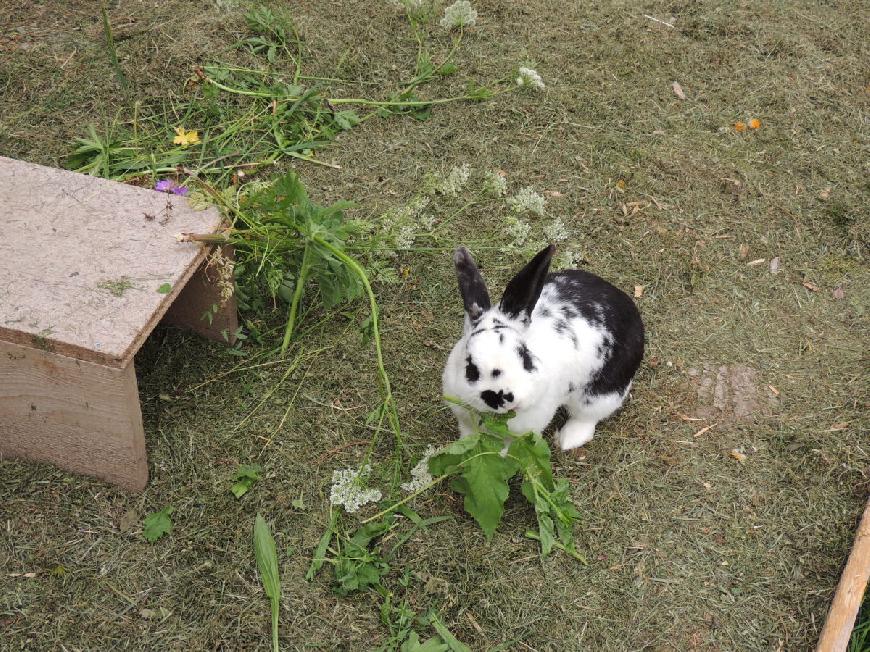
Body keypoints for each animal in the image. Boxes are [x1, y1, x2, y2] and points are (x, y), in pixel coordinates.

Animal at [446, 243, 644, 448]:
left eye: (525, 357)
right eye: (470, 369)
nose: (504, 397)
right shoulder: (464, 420)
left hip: (600, 395)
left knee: (587, 417)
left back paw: (568, 439)